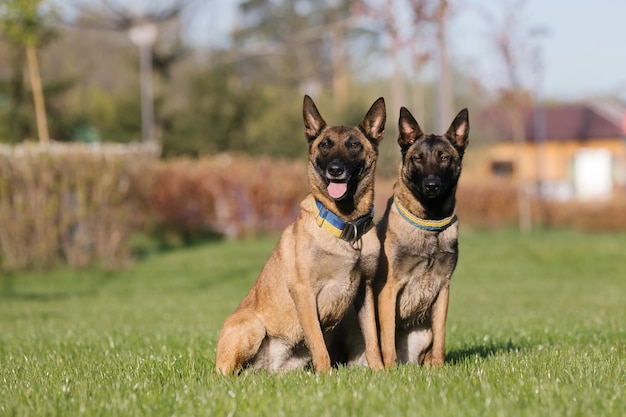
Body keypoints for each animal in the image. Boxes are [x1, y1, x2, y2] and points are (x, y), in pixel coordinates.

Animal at [217, 94, 388, 374]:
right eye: (325, 145)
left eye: (354, 145)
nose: (335, 169)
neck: (345, 226)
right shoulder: (305, 293)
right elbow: (319, 344)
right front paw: (326, 376)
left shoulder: (365, 291)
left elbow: (373, 340)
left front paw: (381, 371)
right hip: (252, 326)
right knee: (222, 374)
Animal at [372, 105, 466, 366]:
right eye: (417, 158)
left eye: (444, 157)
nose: (431, 185)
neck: (428, 224)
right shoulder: (388, 290)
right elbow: (387, 338)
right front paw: (389, 369)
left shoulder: (443, 288)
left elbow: (441, 336)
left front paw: (439, 367)